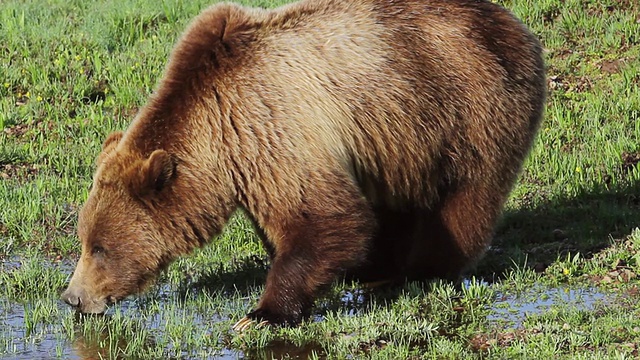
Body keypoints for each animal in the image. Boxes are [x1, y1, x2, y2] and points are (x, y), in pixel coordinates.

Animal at [62, 0, 548, 330]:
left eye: (99, 247)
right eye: (84, 239)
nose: (72, 298)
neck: (216, 133)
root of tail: (516, 25)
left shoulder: (272, 125)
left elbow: (324, 219)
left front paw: (261, 313)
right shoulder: (253, 158)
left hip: (469, 108)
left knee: (464, 200)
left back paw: (420, 272)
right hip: (399, 140)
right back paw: (381, 269)